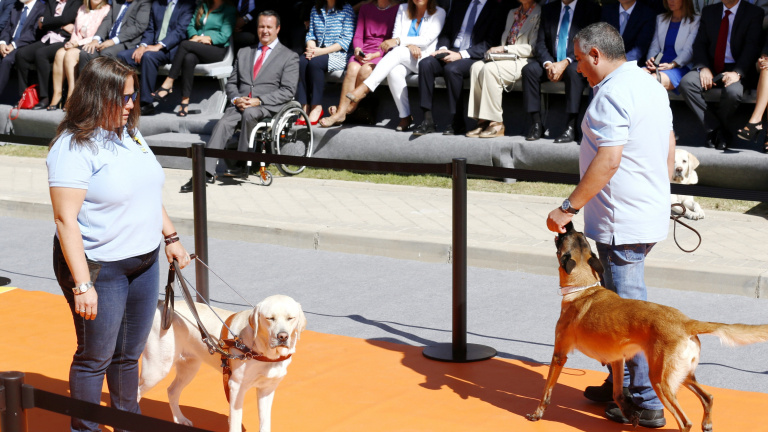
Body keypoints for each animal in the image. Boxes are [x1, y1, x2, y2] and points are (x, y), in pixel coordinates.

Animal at [138, 294, 307, 432]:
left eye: (291, 318)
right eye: (270, 318)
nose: (282, 336)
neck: (261, 351)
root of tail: (162, 305)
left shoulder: (267, 389)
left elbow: (265, 423)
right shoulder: (236, 387)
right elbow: (235, 422)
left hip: (189, 368)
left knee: (172, 391)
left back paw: (180, 419)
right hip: (156, 370)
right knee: (137, 391)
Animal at [526, 222, 768, 432]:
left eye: (565, 238)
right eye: (580, 236)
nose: (568, 224)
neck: (584, 288)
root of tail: (685, 322)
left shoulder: (559, 355)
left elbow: (546, 392)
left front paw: (537, 414)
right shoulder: (617, 360)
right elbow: (617, 394)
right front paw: (629, 414)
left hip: (660, 381)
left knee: (685, 422)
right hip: (681, 375)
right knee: (708, 397)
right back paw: (706, 423)